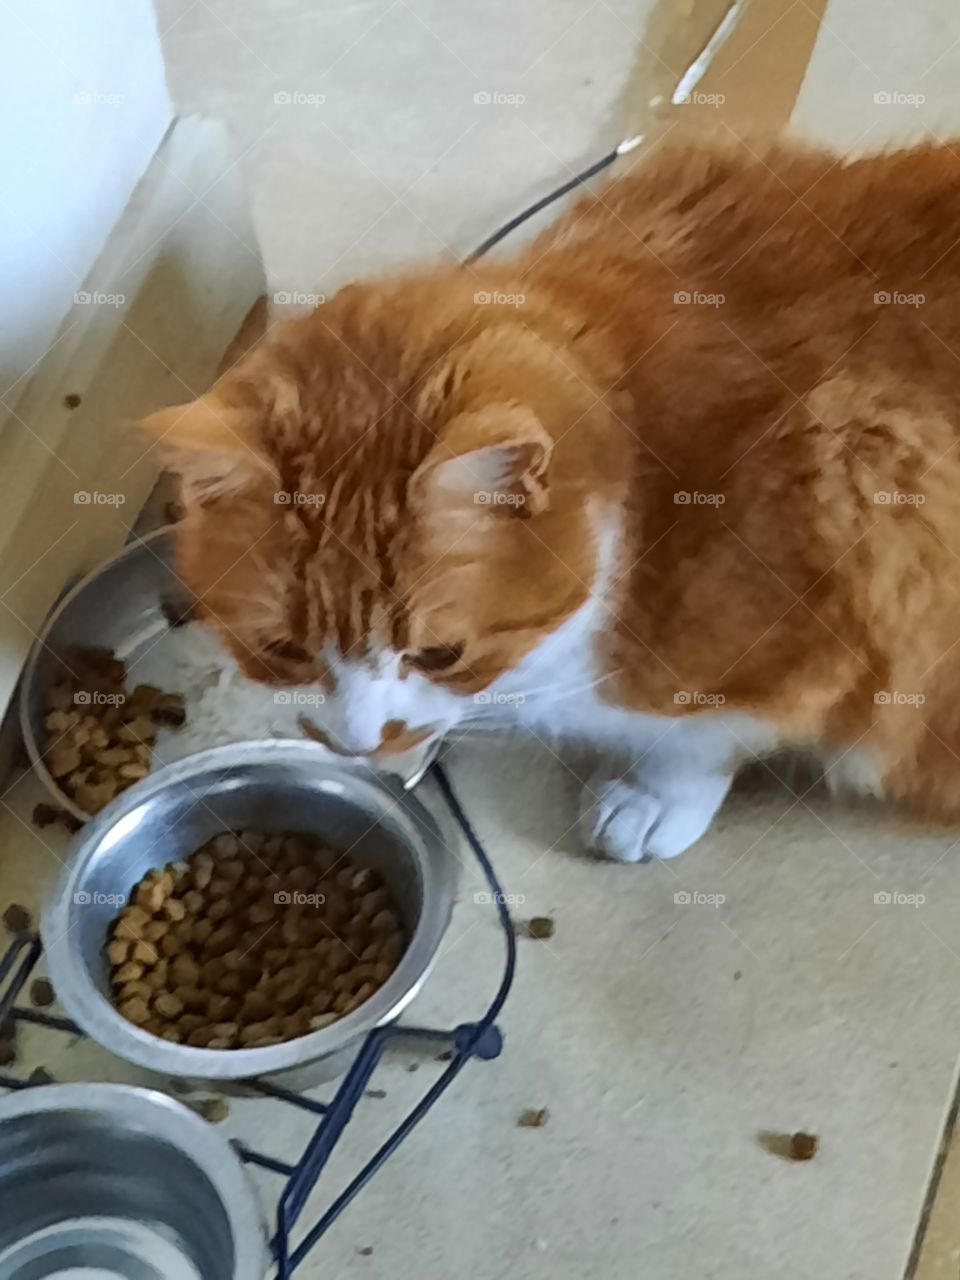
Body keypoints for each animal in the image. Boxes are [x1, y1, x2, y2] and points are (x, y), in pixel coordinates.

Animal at [142, 137, 960, 860]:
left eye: (440, 654)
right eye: (282, 651)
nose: (357, 742)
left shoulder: (857, 575)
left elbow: (705, 735)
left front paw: (655, 798)